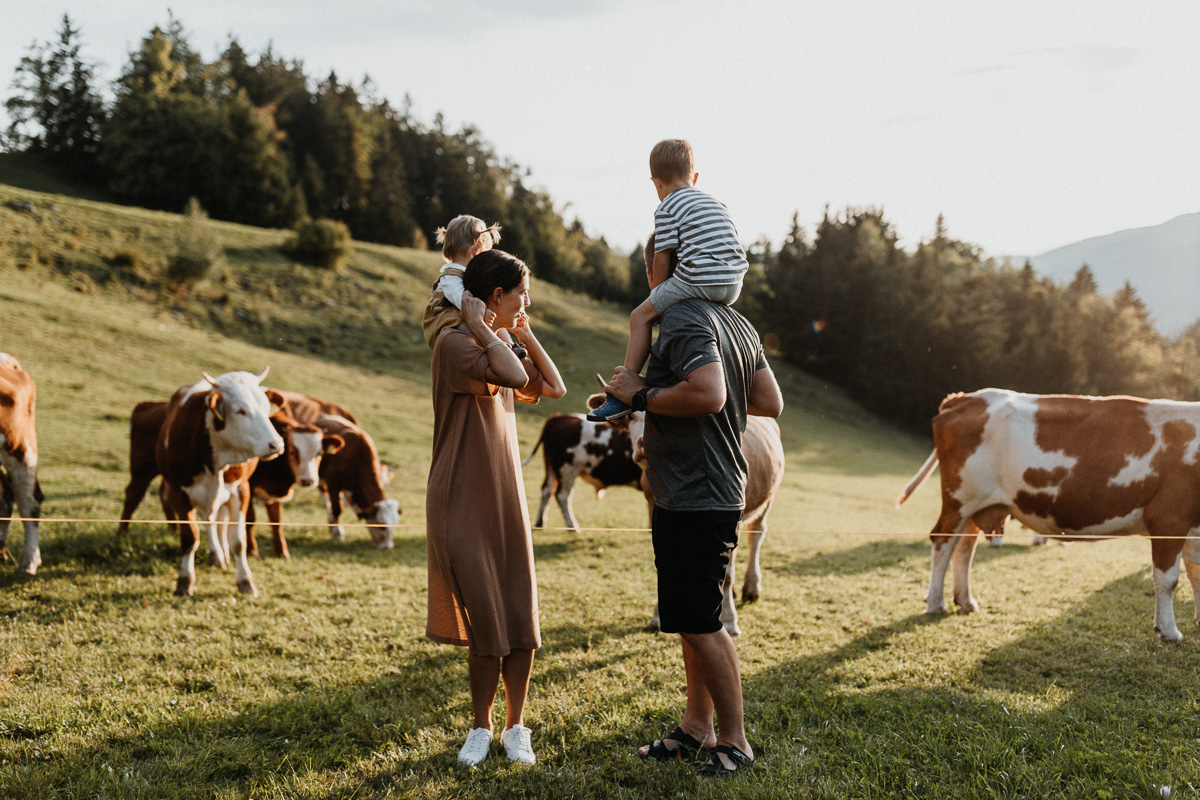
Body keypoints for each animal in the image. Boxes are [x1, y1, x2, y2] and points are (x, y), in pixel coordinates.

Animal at [156, 371, 284, 597]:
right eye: (240, 410)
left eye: (266, 407)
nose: (276, 445)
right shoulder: (179, 492)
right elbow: (190, 538)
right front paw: (184, 582)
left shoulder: (241, 490)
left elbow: (238, 541)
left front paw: (246, 582)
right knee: (210, 522)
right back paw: (216, 555)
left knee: (219, 523)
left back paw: (221, 555)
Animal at [628, 410, 787, 633]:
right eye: (631, 417)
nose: (644, 445)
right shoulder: (653, 509)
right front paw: (658, 616)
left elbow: (727, 574)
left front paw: (729, 620)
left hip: (768, 497)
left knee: (757, 534)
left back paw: (751, 588)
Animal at [892, 388, 1200, 642]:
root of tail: (965, 397)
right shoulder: (1169, 517)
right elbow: (1168, 580)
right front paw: (1169, 631)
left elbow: (1196, 575)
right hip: (959, 500)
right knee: (942, 542)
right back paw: (935, 603)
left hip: (978, 507)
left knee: (964, 548)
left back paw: (966, 601)